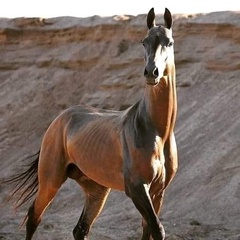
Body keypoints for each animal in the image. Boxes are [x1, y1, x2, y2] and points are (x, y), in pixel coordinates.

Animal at [5, 7, 177, 240]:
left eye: (169, 42)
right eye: (144, 41)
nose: (152, 72)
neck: (156, 131)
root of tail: (59, 119)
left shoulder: (158, 191)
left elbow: (150, 230)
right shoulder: (137, 188)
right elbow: (156, 228)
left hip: (96, 189)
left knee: (81, 229)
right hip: (50, 180)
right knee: (34, 217)